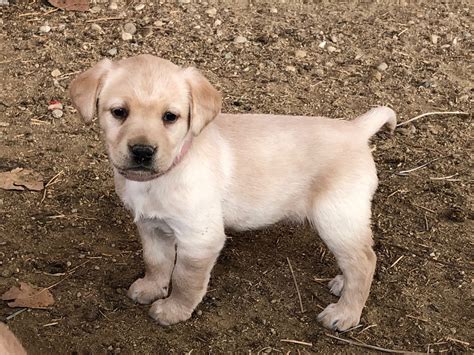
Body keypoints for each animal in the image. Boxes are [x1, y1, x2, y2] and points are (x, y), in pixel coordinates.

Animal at [69, 54, 396, 332]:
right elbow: (156, 262)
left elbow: (185, 280)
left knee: (364, 261)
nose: (142, 151)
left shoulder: (200, 239)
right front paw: (151, 288)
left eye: (170, 117)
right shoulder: (152, 227)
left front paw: (173, 310)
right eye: (119, 112)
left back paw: (345, 313)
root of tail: (356, 129)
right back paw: (342, 284)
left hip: (336, 217)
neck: (169, 171)